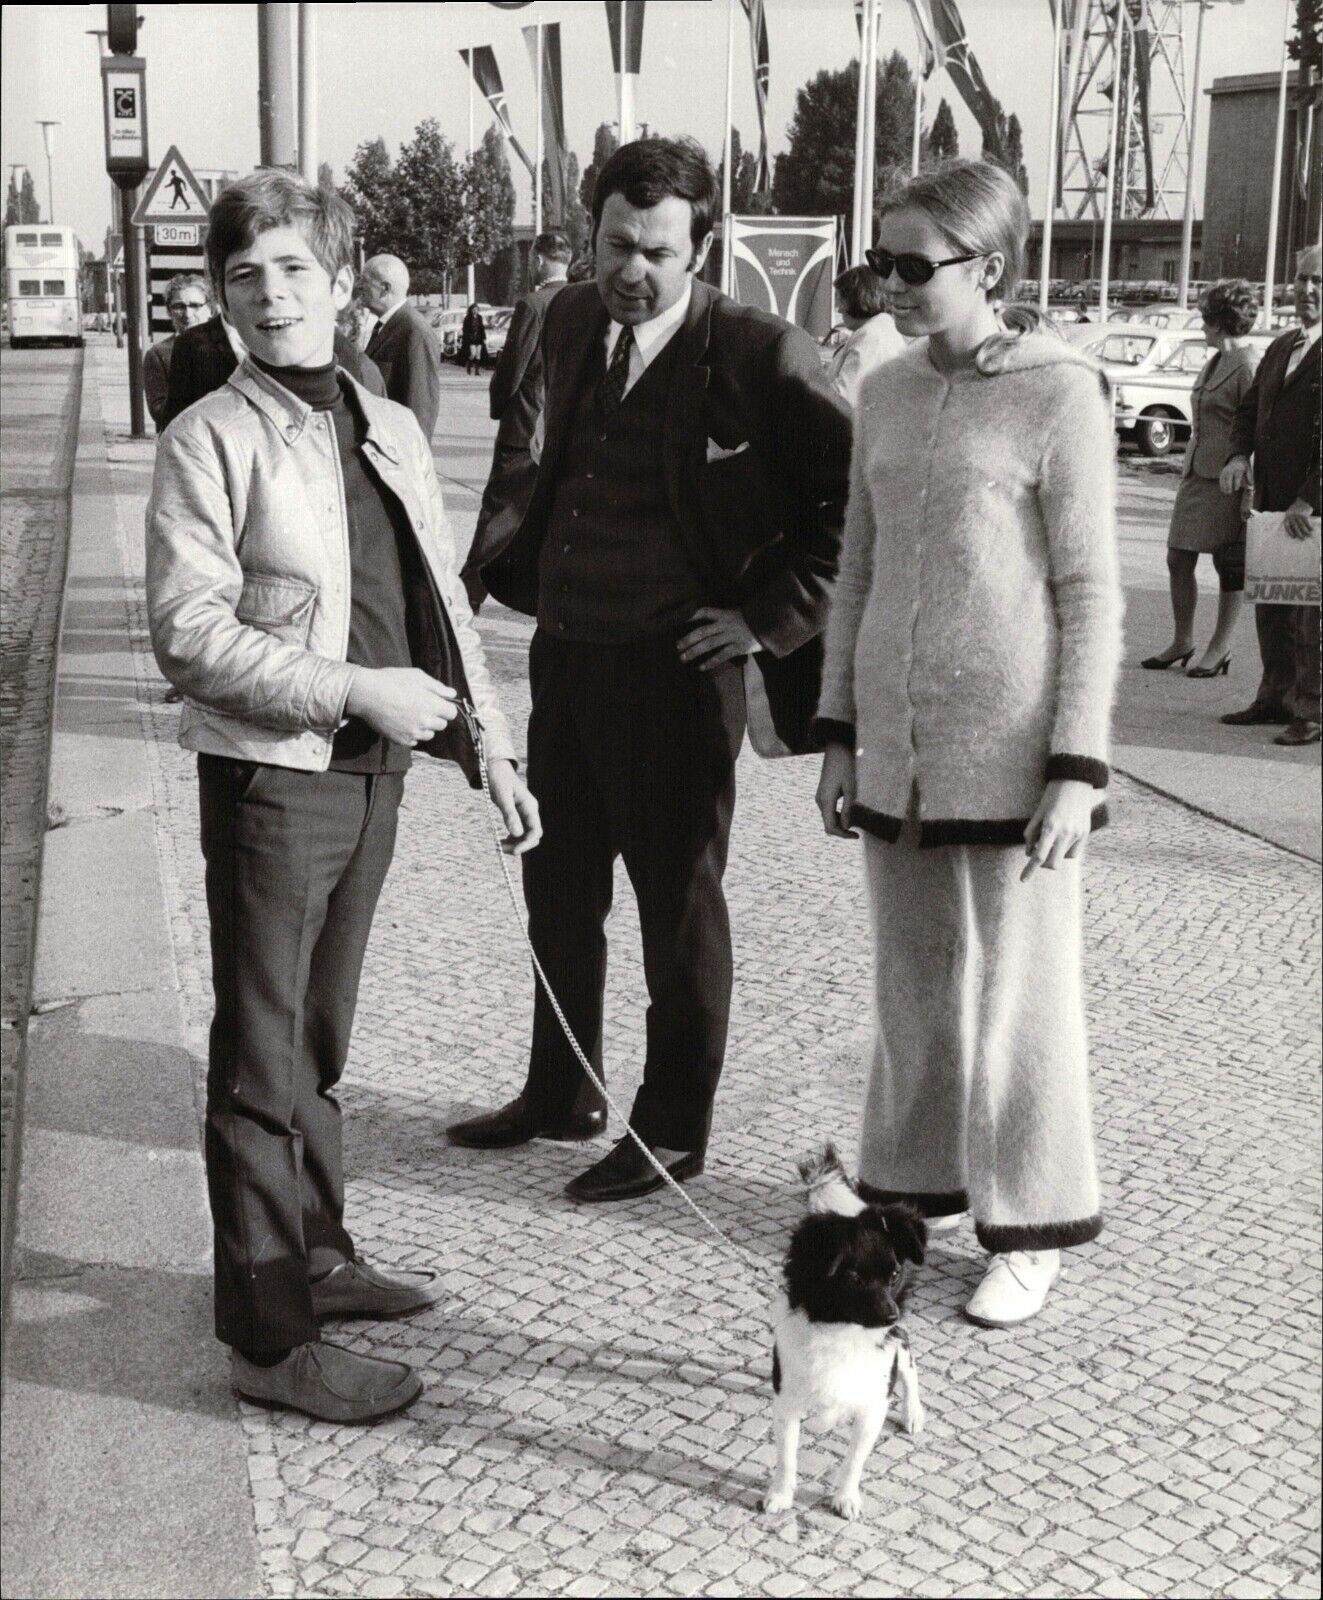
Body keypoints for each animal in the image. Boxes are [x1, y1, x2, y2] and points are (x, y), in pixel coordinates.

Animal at [761, 1145, 927, 1516]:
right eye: (852, 1278)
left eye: (894, 1275)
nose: (891, 1315)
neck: (843, 1332)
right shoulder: (786, 1403)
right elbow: (786, 1457)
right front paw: (781, 1496)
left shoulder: (872, 1406)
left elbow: (853, 1461)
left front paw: (845, 1498)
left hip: (899, 1344)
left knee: (908, 1362)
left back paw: (912, 1412)